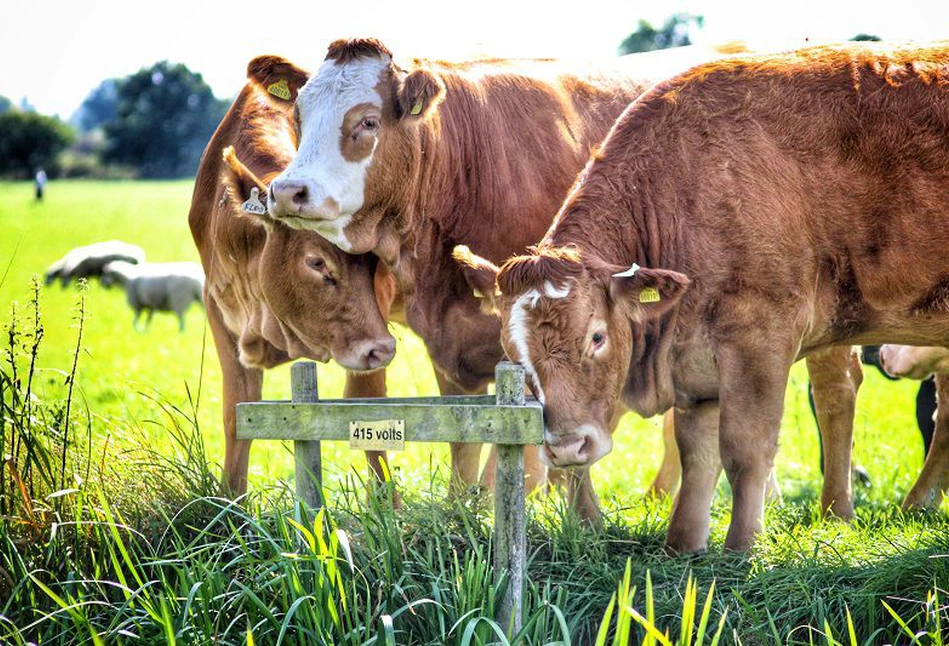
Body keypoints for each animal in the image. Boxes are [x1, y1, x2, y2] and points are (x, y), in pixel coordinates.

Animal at [189, 58, 396, 498]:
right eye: (316, 262)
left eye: (373, 261)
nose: (382, 348)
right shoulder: (218, 313)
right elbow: (236, 417)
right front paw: (230, 504)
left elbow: (370, 413)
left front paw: (388, 506)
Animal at [460, 43, 949, 556]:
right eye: (514, 356)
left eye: (596, 337)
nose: (567, 448)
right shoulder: (696, 360)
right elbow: (698, 453)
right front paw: (685, 544)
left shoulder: (760, 339)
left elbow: (744, 449)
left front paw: (741, 546)